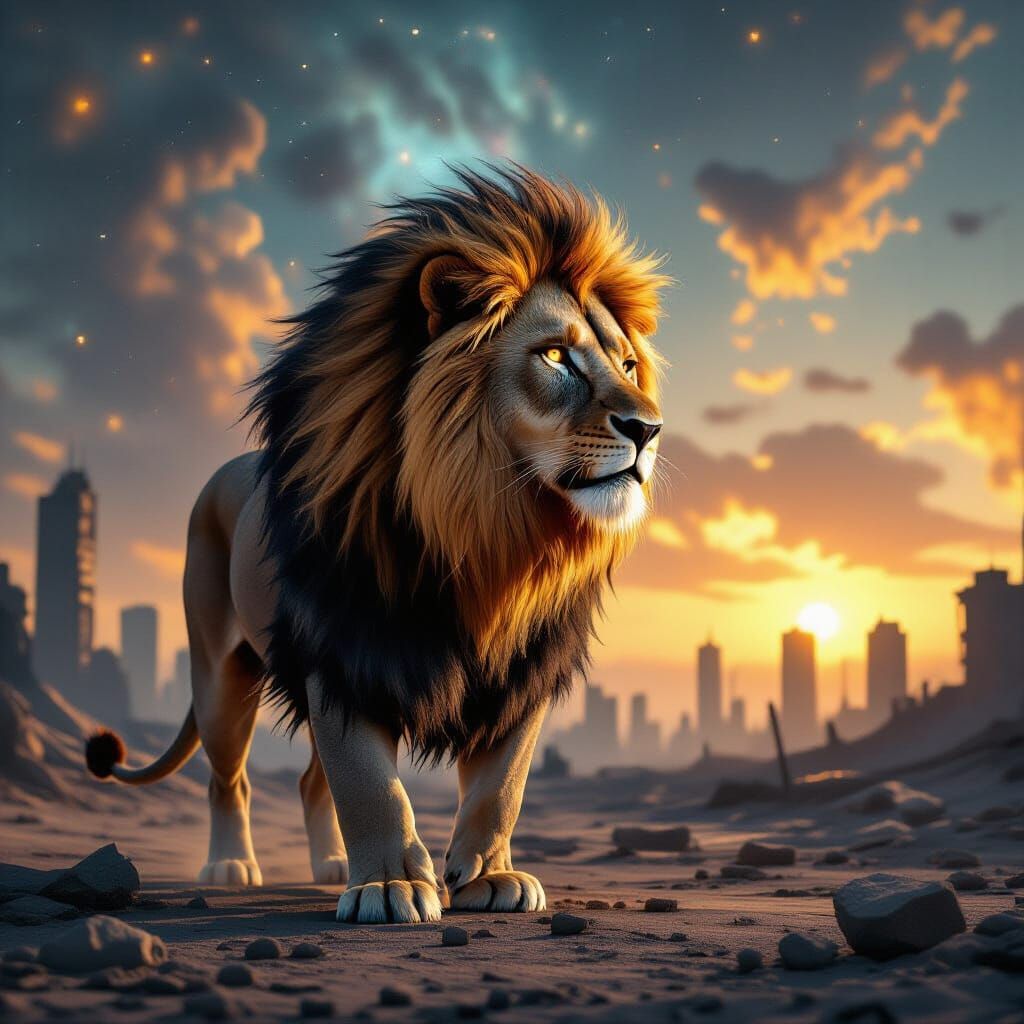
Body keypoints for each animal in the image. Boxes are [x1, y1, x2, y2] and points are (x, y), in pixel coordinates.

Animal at [85, 166, 667, 924]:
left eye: (627, 363)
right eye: (553, 356)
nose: (649, 429)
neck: (490, 535)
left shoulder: (521, 673)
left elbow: (501, 787)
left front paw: (489, 877)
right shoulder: (343, 649)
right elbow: (368, 783)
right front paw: (390, 886)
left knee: (309, 780)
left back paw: (332, 866)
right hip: (221, 674)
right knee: (229, 779)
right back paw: (231, 867)